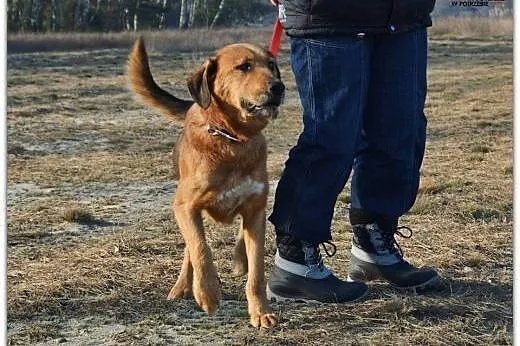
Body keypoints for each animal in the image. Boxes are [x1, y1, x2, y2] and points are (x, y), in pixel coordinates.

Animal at [128, 37, 286, 328]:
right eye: (244, 66)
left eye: (272, 65)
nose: (278, 87)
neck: (232, 141)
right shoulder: (186, 206)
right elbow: (201, 249)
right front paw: (208, 293)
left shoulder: (255, 209)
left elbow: (257, 272)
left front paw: (260, 312)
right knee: (190, 247)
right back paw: (183, 286)